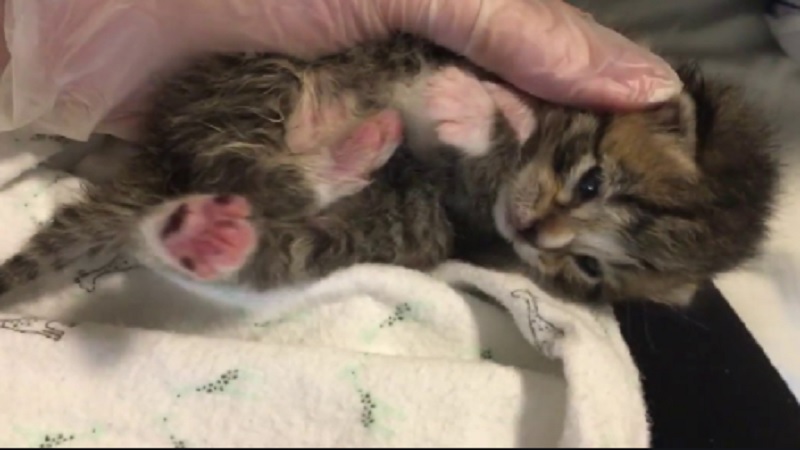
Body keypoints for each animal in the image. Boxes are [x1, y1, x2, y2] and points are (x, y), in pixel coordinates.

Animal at [0, 35, 780, 306]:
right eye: (590, 182)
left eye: (589, 270)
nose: (534, 234)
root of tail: (166, 157)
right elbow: (501, 98)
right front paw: (487, 103)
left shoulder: (464, 211)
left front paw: (477, 116)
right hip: (257, 78)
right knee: (250, 159)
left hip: (389, 224)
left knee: (273, 223)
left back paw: (209, 234)